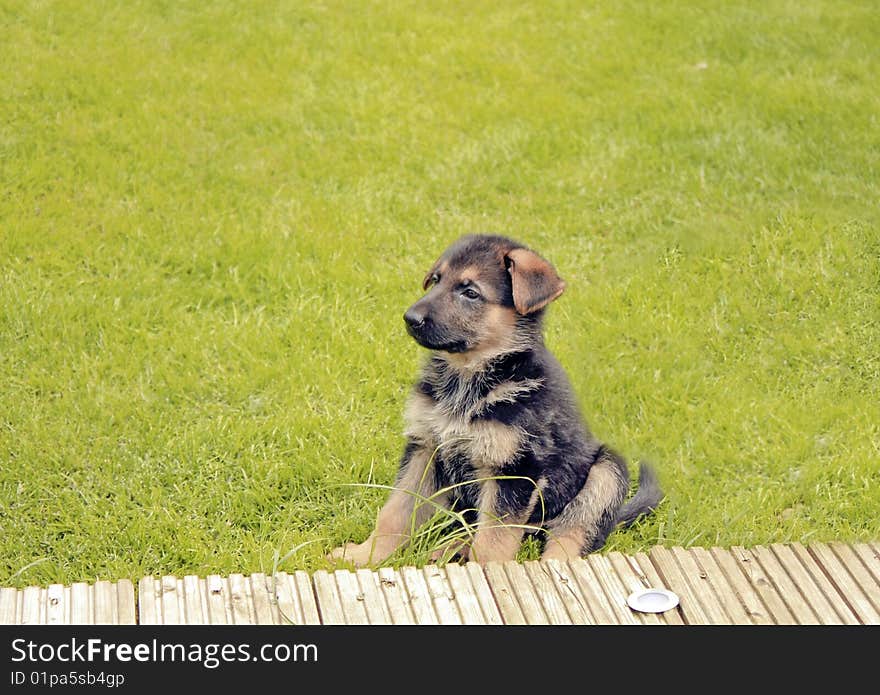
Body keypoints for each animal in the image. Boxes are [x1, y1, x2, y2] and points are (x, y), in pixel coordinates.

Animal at [330, 234, 660, 564]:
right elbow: (395, 511)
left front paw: (487, 570)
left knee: (570, 533)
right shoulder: (425, 448)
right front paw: (365, 556)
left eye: (470, 293)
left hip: (606, 471)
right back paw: (449, 549)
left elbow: (494, 539)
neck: (469, 377)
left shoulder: (515, 469)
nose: (409, 319)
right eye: (436, 280)